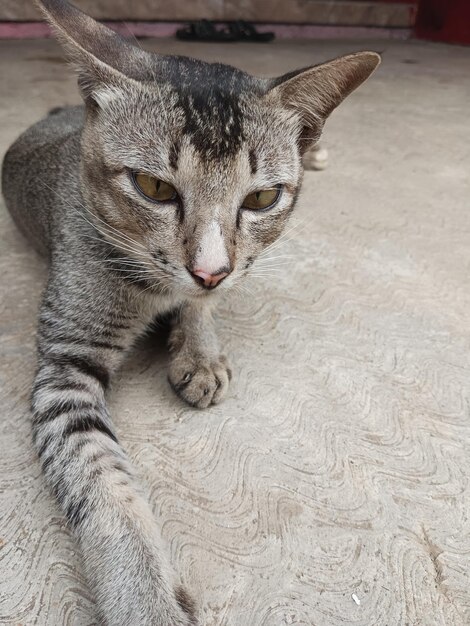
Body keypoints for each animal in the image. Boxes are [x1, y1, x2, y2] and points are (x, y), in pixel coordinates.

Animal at [0, 2, 380, 620]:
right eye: (152, 187)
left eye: (261, 199)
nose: (210, 269)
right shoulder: (64, 368)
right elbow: (99, 481)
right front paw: (145, 602)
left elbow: (203, 305)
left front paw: (199, 348)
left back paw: (315, 147)